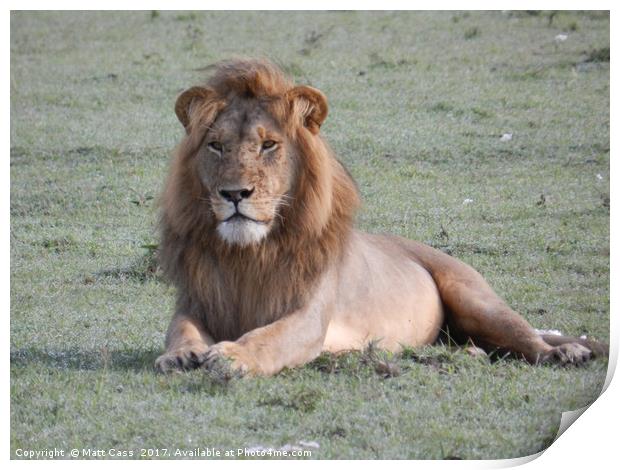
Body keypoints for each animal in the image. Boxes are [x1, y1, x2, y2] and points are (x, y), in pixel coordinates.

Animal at [154, 59, 604, 374]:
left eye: (268, 145)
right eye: (216, 146)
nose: (234, 194)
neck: (248, 254)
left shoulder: (309, 317)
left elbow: (269, 336)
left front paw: (231, 356)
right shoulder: (196, 299)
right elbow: (180, 328)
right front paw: (181, 355)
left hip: (477, 299)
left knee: (529, 338)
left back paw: (566, 352)